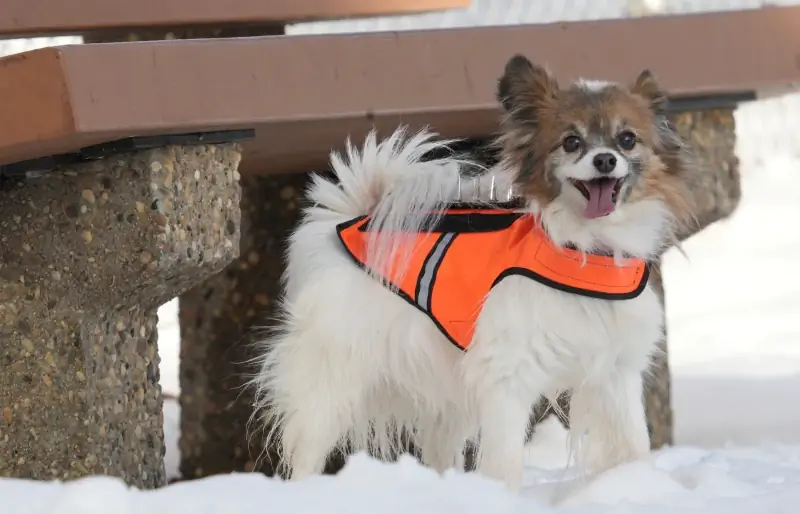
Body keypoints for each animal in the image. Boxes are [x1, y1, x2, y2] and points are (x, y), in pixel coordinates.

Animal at [253, 54, 696, 490]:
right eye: (571, 142)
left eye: (627, 139)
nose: (605, 160)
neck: (586, 252)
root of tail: (352, 217)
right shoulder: (507, 377)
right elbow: (505, 462)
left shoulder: (617, 374)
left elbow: (634, 445)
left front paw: (640, 485)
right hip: (333, 378)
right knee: (307, 447)